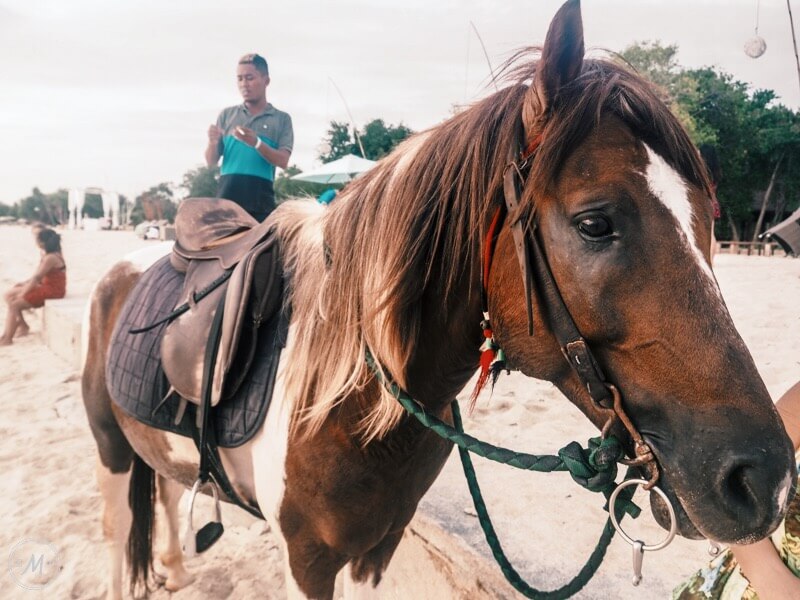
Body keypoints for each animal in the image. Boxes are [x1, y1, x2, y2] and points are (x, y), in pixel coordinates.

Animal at [84, 2, 796, 596]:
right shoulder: (306, 559)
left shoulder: (379, 545)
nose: (765, 480)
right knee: (119, 535)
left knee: (167, 489)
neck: (347, 398)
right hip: (110, 447)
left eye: (707, 222)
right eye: (595, 222)